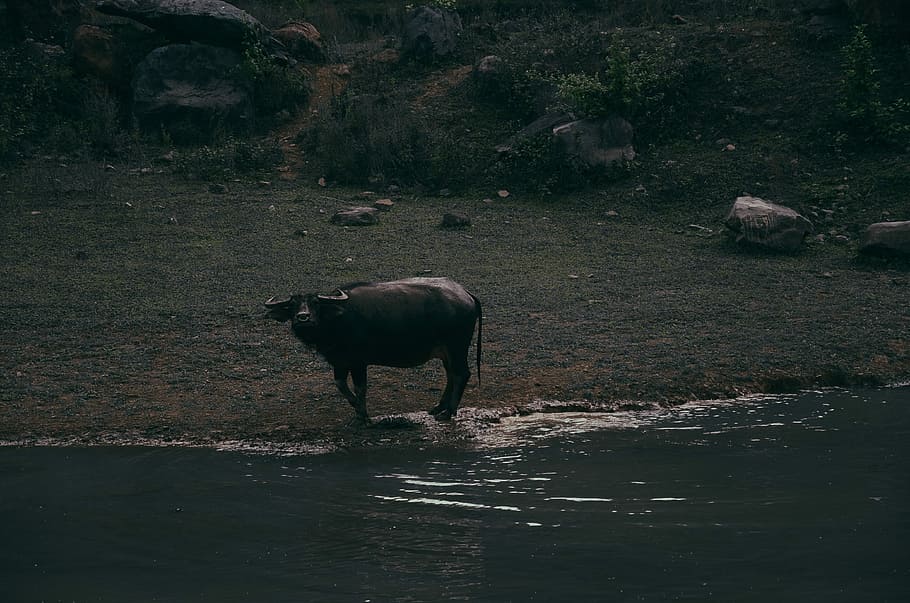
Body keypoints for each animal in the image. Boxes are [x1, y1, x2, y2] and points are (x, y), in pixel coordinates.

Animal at [265, 277, 482, 422]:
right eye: (292, 306)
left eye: (316, 303)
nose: (303, 318)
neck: (338, 319)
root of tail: (466, 294)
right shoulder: (339, 362)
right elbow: (340, 385)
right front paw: (357, 410)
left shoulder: (359, 362)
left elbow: (360, 387)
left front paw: (363, 415)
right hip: (447, 352)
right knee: (451, 374)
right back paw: (438, 407)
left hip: (457, 347)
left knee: (462, 374)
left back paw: (449, 412)